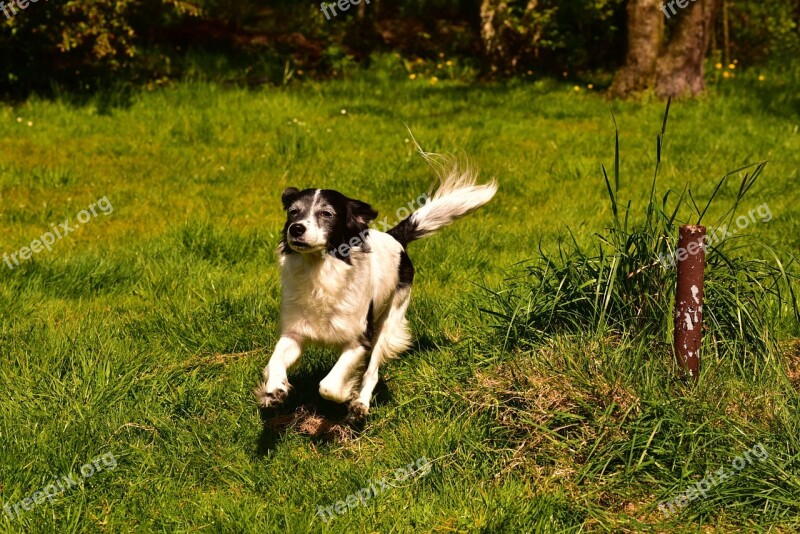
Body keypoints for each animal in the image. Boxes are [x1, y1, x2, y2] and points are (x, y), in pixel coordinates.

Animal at [256, 154, 496, 422]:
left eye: (326, 213)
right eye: (293, 212)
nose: (296, 228)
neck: (321, 274)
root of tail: (396, 239)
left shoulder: (360, 339)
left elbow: (328, 386)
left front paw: (347, 393)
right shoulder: (294, 333)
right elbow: (275, 360)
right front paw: (274, 389)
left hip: (389, 323)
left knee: (372, 372)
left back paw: (361, 404)